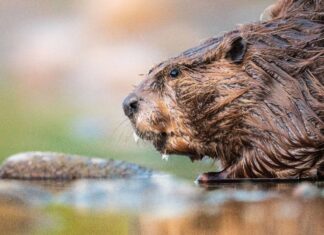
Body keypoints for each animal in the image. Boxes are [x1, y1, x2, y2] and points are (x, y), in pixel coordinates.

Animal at [123, 0, 322, 182]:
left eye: (174, 72)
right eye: (150, 69)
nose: (127, 104)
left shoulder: (287, 109)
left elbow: (286, 149)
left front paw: (207, 176)